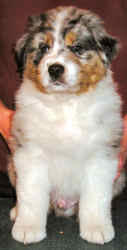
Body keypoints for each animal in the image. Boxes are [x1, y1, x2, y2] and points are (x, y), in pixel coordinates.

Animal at [8, 5, 125, 244]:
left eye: (77, 47)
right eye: (43, 47)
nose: (54, 69)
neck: (65, 103)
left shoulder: (101, 155)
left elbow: (96, 197)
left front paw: (97, 228)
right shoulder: (30, 153)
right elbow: (31, 195)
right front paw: (27, 228)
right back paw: (16, 212)